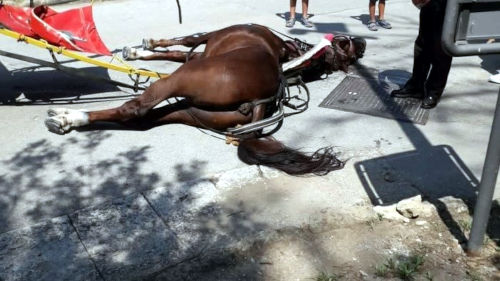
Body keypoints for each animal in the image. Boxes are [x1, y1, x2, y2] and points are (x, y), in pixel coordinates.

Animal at [46, 23, 368, 174]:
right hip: (189, 110)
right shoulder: (203, 52)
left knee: (135, 109)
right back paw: (70, 120)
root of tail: (261, 101)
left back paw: (68, 117)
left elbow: (184, 42)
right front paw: (139, 52)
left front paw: (143, 47)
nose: (363, 41)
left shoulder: (207, 41)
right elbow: (176, 52)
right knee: (144, 120)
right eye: (347, 44)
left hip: (178, 80)